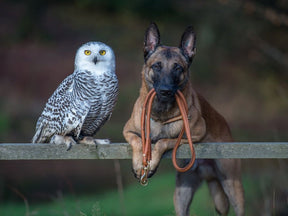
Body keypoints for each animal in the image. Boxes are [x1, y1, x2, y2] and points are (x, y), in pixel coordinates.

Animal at [122, 22, 244, 215]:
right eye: (157, 66)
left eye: (177, 67)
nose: (165, 91)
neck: (161, 113)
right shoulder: (127, 131)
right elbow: (138, 140)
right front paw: (139, 164)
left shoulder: (194, 136)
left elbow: (163, 140)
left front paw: (151, 162)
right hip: (181, 196)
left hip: (232, 186)